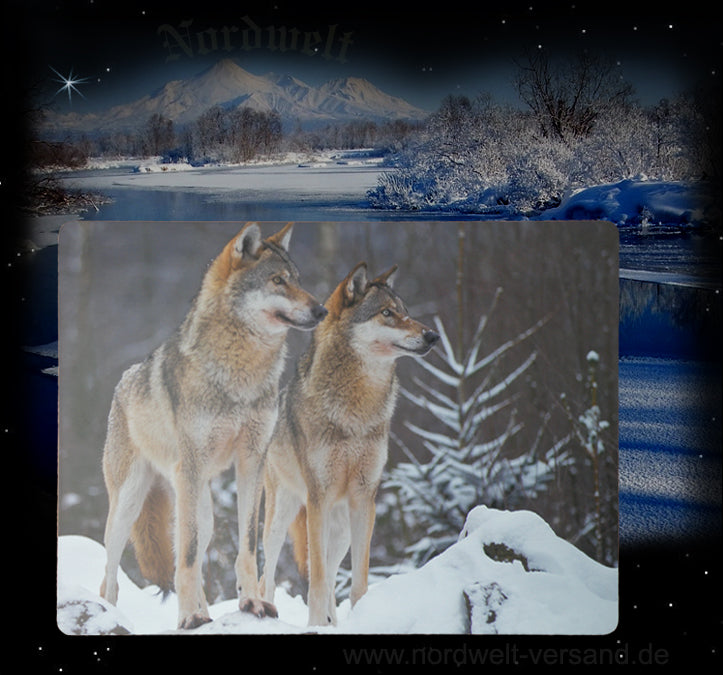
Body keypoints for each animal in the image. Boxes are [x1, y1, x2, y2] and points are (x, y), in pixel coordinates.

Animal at [99, 222, 327, 629]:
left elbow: (248, 544)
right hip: (129, 504)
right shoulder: (192, 465)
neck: (241, 373)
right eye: (278, 281)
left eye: (298, 280)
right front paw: (189, 616)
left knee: (194, 545)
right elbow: (188, 555)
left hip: (200, 508)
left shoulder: (252, 461)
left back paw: (204, 613)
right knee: (112, 574)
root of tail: (123, 381)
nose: (322, 309)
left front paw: (252, 602)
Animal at [260, 261, 439, 626]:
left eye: (406, 312)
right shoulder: (318, 499)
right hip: (282, 517)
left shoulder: (365, 498)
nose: (433, 336)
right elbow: (315, 581)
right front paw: (314, 626)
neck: (357, 409)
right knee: (267, 574)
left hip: (340, 530)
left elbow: (357, 581)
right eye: (387, 313)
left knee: (331, 577)